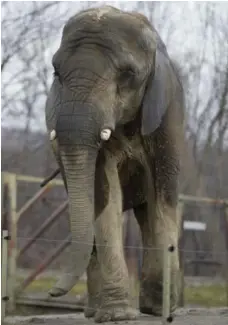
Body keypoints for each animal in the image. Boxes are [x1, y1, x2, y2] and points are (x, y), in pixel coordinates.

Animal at [45, 5, 185, 322]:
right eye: (56, 72)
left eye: (128, 74)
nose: (52, 293)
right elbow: (103, 196)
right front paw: (117, 315)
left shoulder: (167, 116)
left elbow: (163, 197)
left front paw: (165, 310)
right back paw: (96, 310)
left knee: (147, 214)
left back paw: (154, 305)